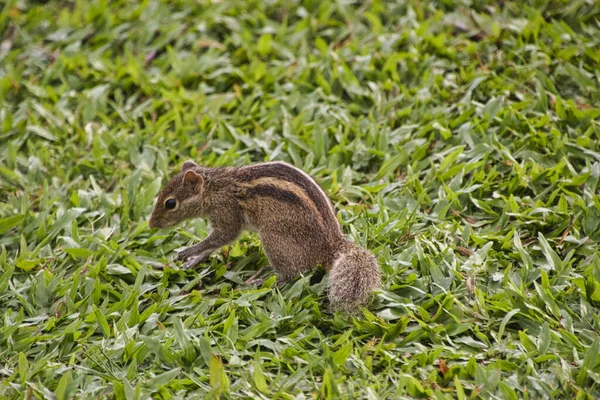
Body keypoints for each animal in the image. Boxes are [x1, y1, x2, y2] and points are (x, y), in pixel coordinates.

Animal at [150, 159, 382, 312]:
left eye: (170, 203)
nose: (152, 224)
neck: (214, 187)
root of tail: (332, 245)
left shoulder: (227, 215)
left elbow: (221, 237)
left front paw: (186, 252)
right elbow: (213, 244)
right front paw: (194, 260)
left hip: (273, 238)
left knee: (292, 274)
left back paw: (259, 282)